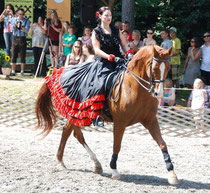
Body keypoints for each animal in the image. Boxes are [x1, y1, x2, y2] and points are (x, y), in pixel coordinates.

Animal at [35, 45, 179, 185]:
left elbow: (162, 144)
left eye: (168, 68)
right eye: (154, 68)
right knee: (71, 132)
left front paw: (172, 174)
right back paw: (65, 162)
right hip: (77, 112)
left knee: (72, 133)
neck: (135, 87)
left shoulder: (150, 120)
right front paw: (114, 170)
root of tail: (60, 71)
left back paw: (91, 164)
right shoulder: (120, 122)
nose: (159, 93)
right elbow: (117, 145)